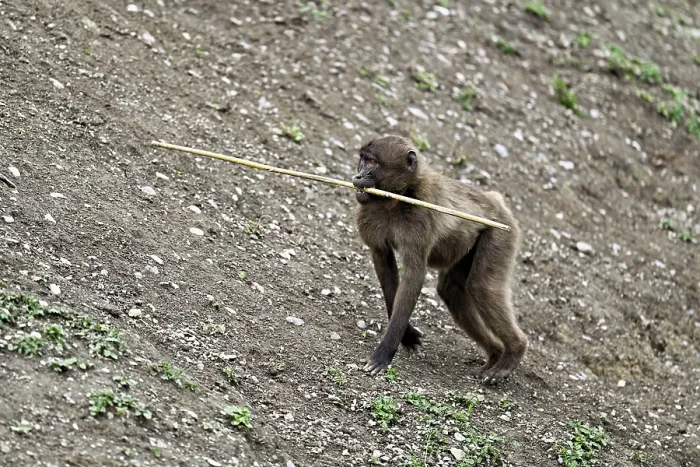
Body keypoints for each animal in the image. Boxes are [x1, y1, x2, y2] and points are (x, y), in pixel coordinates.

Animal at [352, 135, 527, 384]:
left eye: (372, 163)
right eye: (363, 159)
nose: (357, 176)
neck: (399, 197)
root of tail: (496, 200)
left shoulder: (419, 219)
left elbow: (414, 276)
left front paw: (385, 352)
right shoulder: (368, 214)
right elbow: (384, 264)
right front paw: (407, 335)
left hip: (501, 232)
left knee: (481, 287)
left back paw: (512, 353)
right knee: (452, 290)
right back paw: (496, 353)